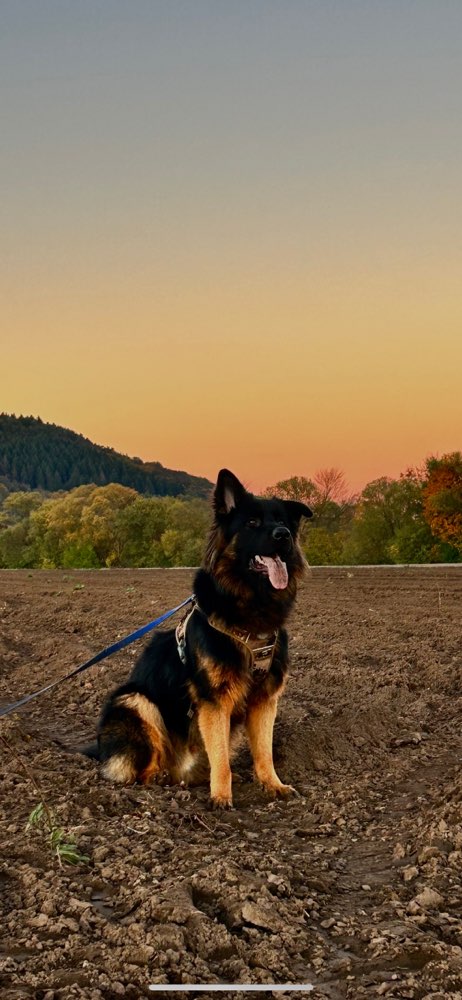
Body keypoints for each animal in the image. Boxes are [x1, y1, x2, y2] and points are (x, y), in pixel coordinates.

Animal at [85, 472, 312, 808]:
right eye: (253, 522)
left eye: (282, 521)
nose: (283, 535)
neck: (252, 608)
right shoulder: (214, 702)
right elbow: (221, 759)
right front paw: (221, 797)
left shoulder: (264, 701)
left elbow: (264, 753)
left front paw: (273, 785)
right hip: (135, 700)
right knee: (141, 768)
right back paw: (160, 780)